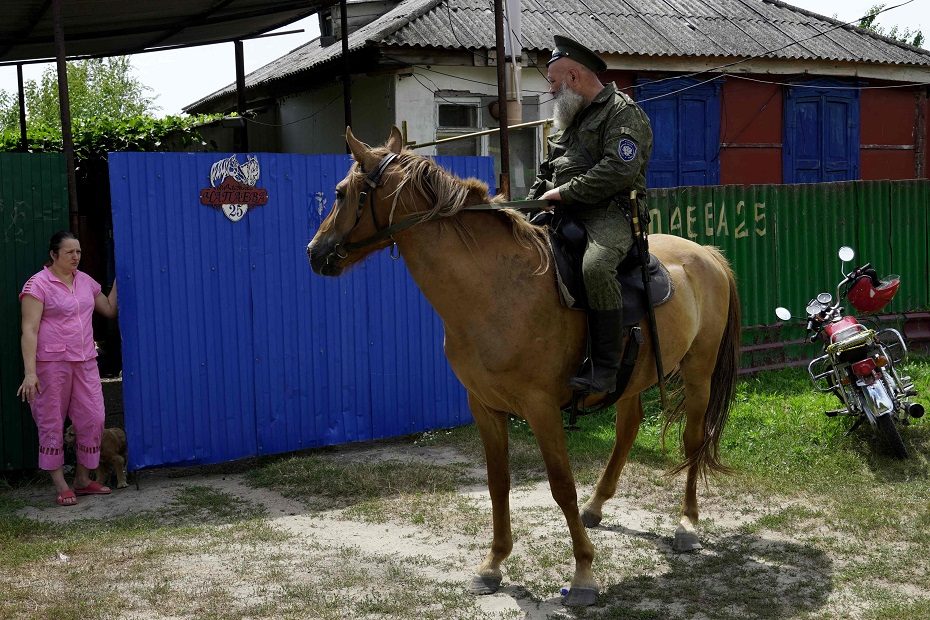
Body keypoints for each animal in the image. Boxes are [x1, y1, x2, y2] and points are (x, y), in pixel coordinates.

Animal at [306, 126, 740, 604]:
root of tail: (708, 255)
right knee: (628, 428)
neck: (496, 289)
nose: (315, 252)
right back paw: (597, 506)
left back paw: (687, 524)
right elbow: (498, 483)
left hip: (699, 374)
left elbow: (561, 485)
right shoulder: (485, 407)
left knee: (693, 440)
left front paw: (583, 573)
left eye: (341, 192)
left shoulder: (541, 408)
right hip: (630, 379)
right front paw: (493, 564)